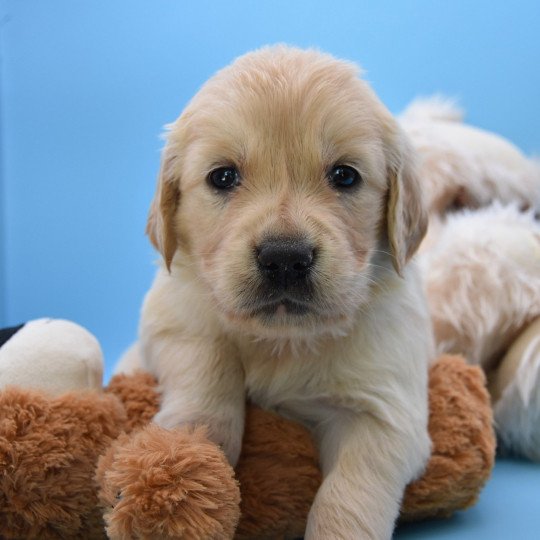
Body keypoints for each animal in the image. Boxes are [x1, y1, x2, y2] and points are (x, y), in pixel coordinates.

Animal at [120, 47, 432, 540]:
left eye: (345, 176)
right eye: (223, 177)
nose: (285, 258)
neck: (284, 340)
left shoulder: (385, 410)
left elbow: (350, 495)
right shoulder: (170, 318)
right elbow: (208, 357)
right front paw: (193, 451)